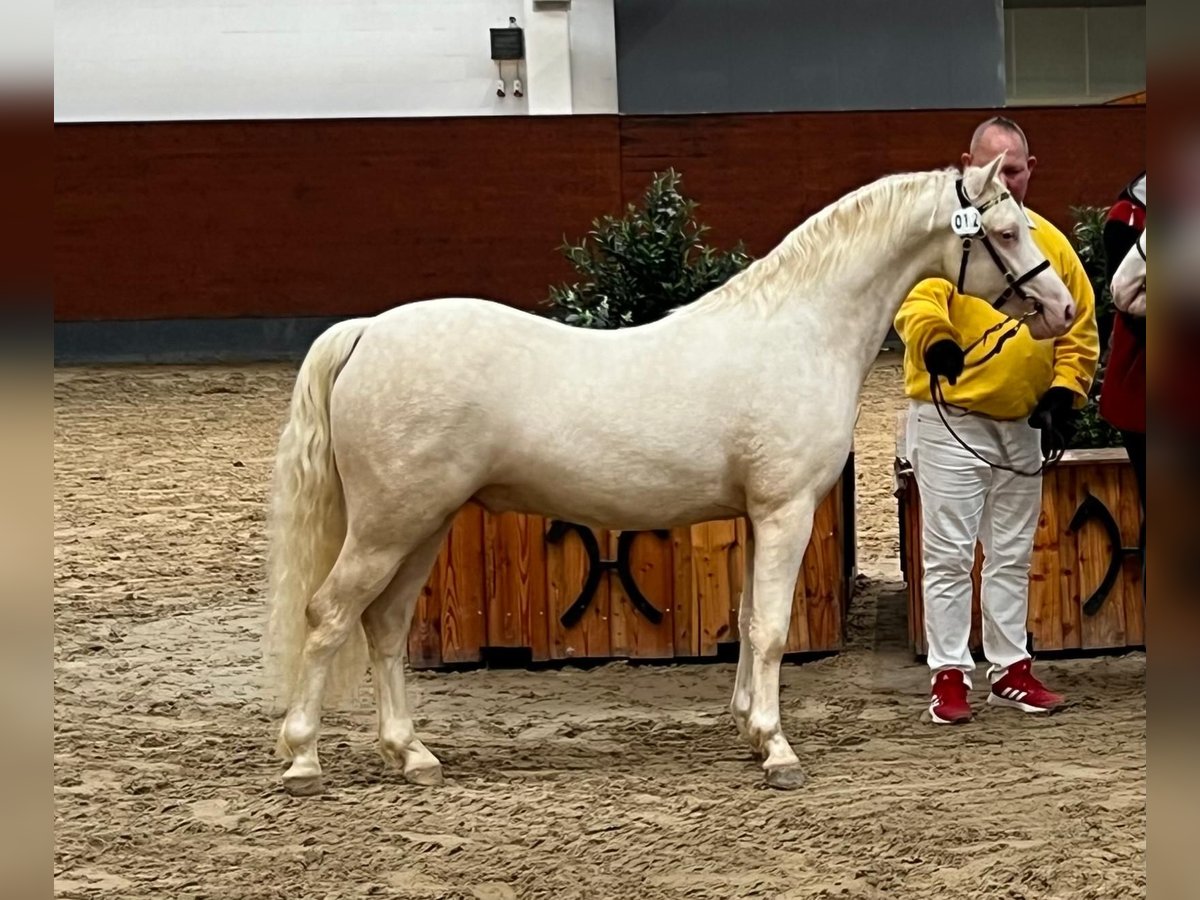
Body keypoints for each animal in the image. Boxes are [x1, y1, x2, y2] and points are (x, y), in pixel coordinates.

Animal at [262, 154, 1080, 796]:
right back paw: (303, 760)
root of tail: (367, 331)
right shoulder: (785, 511)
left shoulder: (757, 516)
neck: (799, 331)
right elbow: (771, 629)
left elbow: (747, 623)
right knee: (329, 615)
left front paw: (749, 727)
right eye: (1008, 233)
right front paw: (778, 750)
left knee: (384, 626)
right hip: (390, 524)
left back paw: (412, 756)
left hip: (422, 525)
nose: (1063, 306)